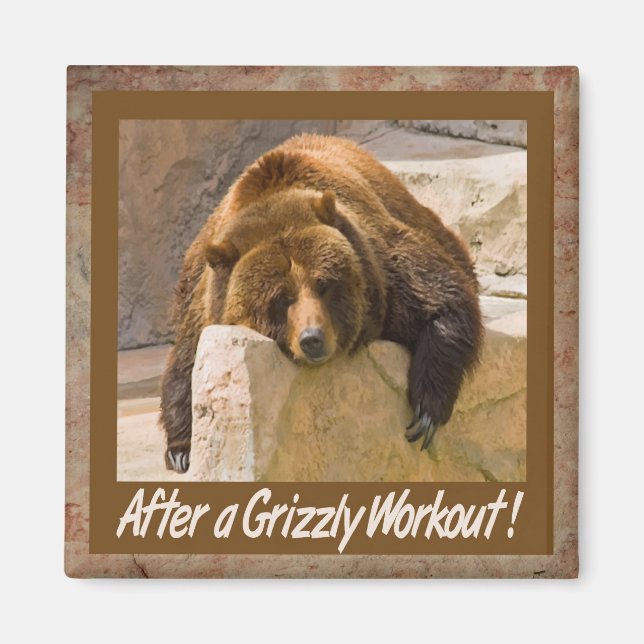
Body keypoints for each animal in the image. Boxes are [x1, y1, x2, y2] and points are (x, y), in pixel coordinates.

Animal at [160, 133, 483, 474]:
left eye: (324, 284)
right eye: (281, 298)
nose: (312, 338)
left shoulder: (383, 270)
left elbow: (444, 300)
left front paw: (425, 412)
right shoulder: (208, 301)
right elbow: (186, 361)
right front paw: (181, 449)